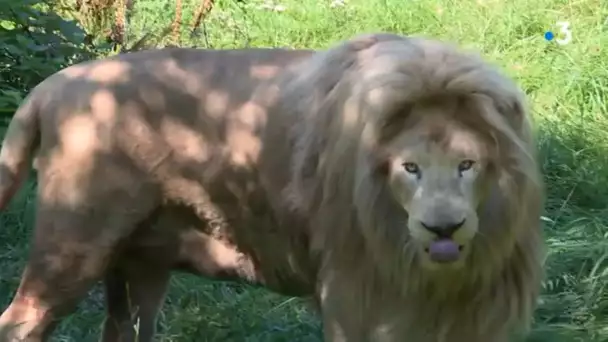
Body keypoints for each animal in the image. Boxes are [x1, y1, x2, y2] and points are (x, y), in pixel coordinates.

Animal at [0, 32, 544, 342]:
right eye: (409, 168)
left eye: (467, 164)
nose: (443, 227)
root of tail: (51, 85)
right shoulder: (353, 297)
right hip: (72, 247)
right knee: (19, 323)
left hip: (141, 266)